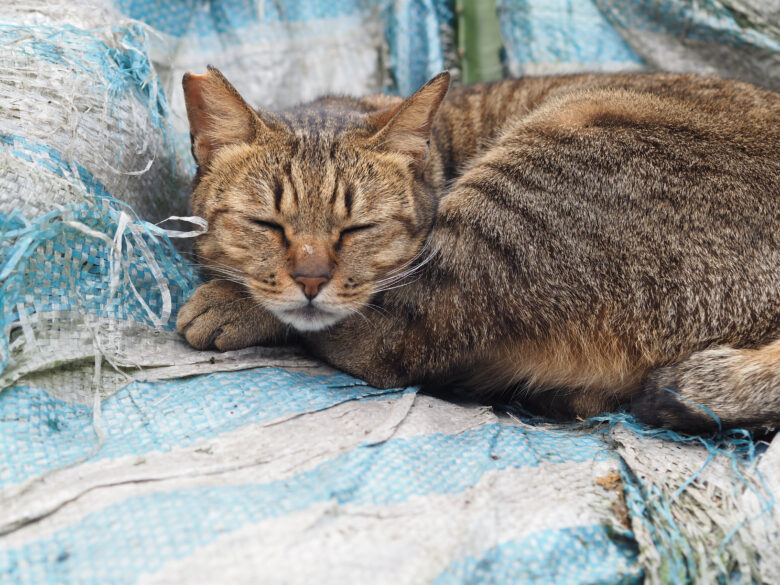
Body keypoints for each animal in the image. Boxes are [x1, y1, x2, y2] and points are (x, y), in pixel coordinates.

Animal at [177, 67, 780, 434]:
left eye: (358, 228)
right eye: (267, 224)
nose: (310, 279)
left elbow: (353, 318)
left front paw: (233, 300)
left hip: (531, 177)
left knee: (392, 343)